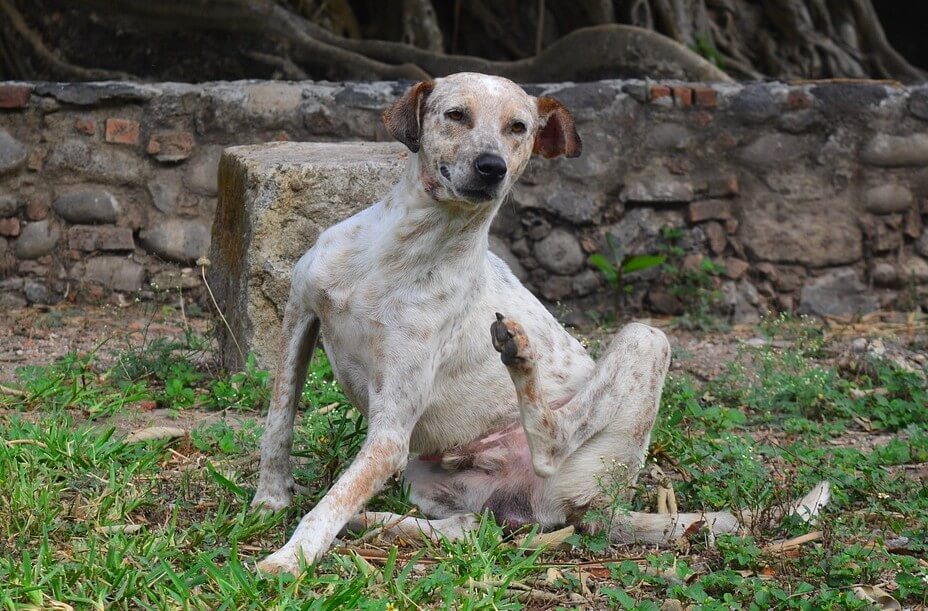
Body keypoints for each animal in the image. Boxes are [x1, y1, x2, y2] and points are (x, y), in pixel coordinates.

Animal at [246, 71, 828, 572]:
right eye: (455, 115)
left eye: (518, 127)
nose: (491, 167)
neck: (403, 250)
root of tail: (603, 507)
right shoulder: (300, 315)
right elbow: (278, 422)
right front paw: (269, 501)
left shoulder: (390, 435)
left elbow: (330, 502)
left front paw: (289, 559)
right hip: (429, 483)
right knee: (468, 528)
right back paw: (382, 522)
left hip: (644, 341)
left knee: (553, 440)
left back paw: (520, 357)